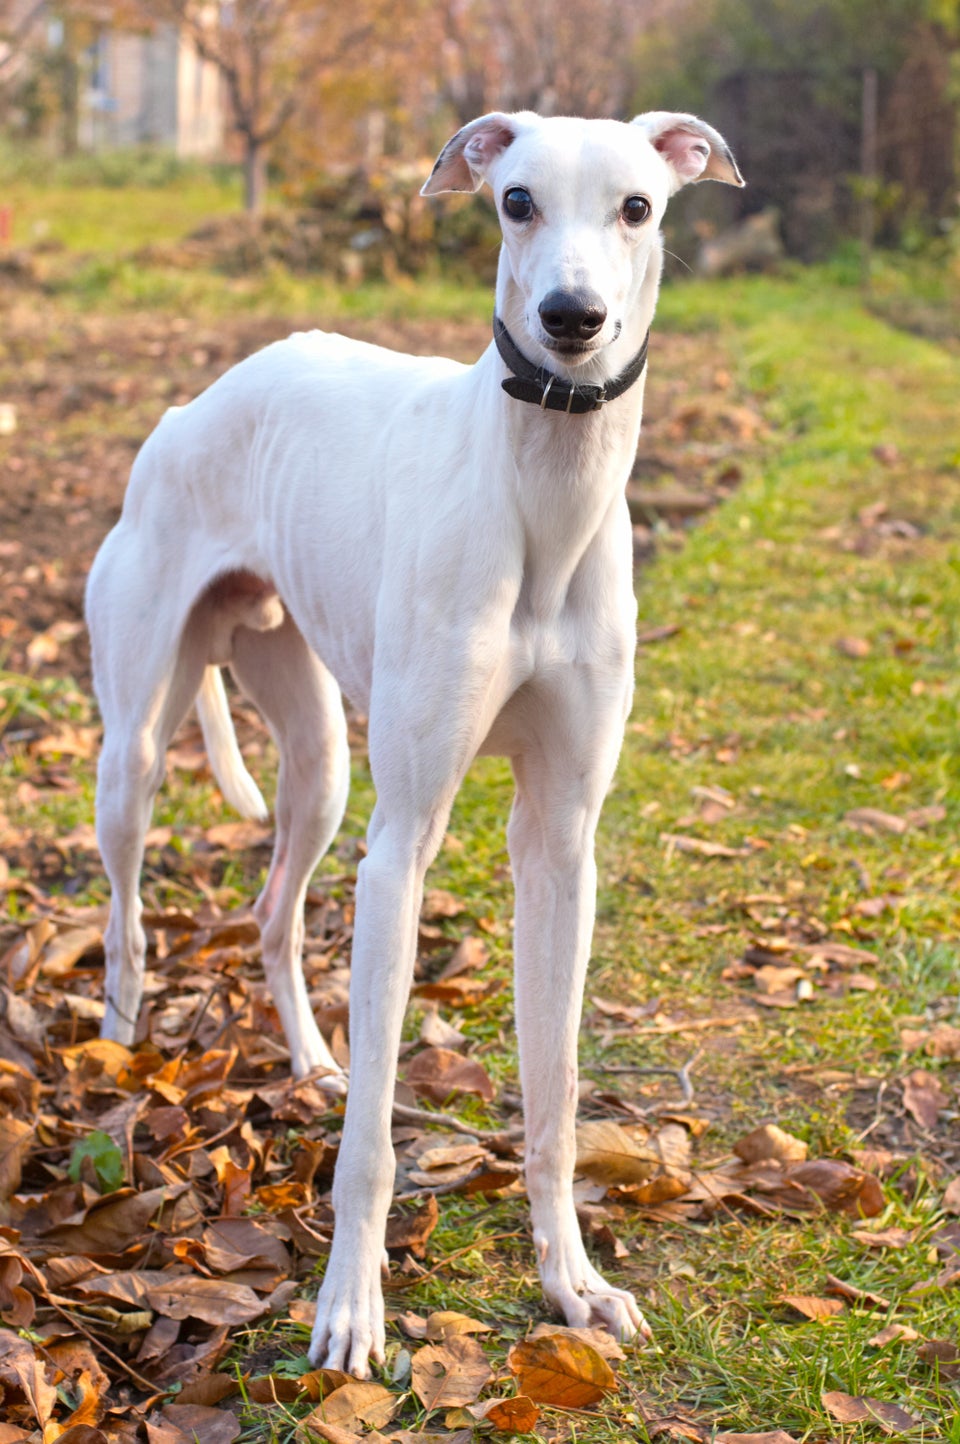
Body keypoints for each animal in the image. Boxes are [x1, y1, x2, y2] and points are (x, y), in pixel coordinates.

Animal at [86, 109, 739, 1374]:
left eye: (637, 206)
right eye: (516, 200)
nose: (572, 320)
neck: (542, 497)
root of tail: (195, 403)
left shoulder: (561, 845)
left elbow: (556, 1094)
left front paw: (574, 1283)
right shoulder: (401, 848)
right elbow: (372, 1145)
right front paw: (350, 1310)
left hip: (322, 767)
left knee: (272, 912)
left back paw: (308, 1062)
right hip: (139, 748)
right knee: (129, 922)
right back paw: (119, 1061)